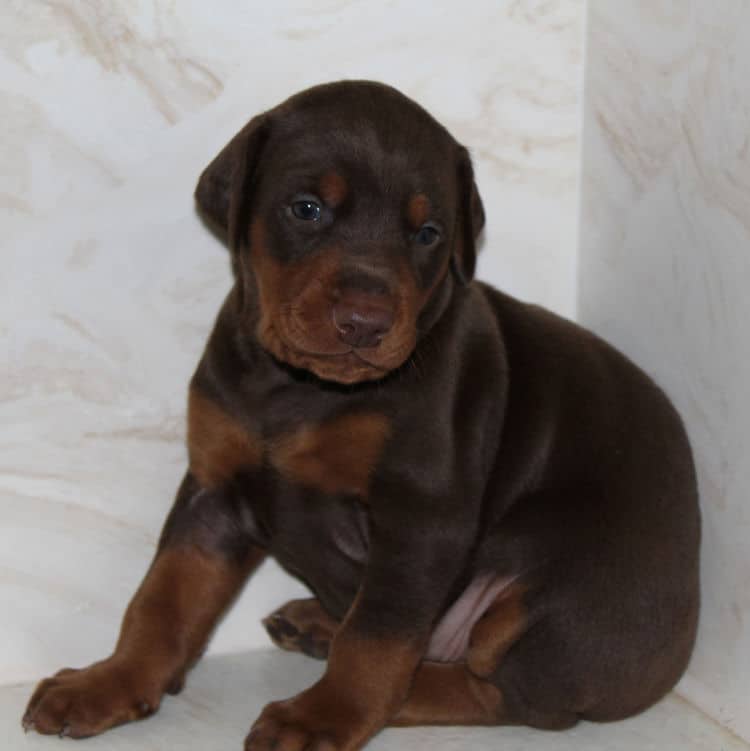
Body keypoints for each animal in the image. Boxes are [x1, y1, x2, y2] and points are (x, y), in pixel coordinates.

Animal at [23, 82, 704, 751]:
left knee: (509, 694)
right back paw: (315, 623)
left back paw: (380, 686)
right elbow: (163, 597)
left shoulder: (421, 517)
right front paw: (107, 681)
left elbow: (378, 636)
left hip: (561, 583)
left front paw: (324, 718)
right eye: (306, 209)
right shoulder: (213, 491)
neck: (300, 388)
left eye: (428, 233)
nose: (365, 323)